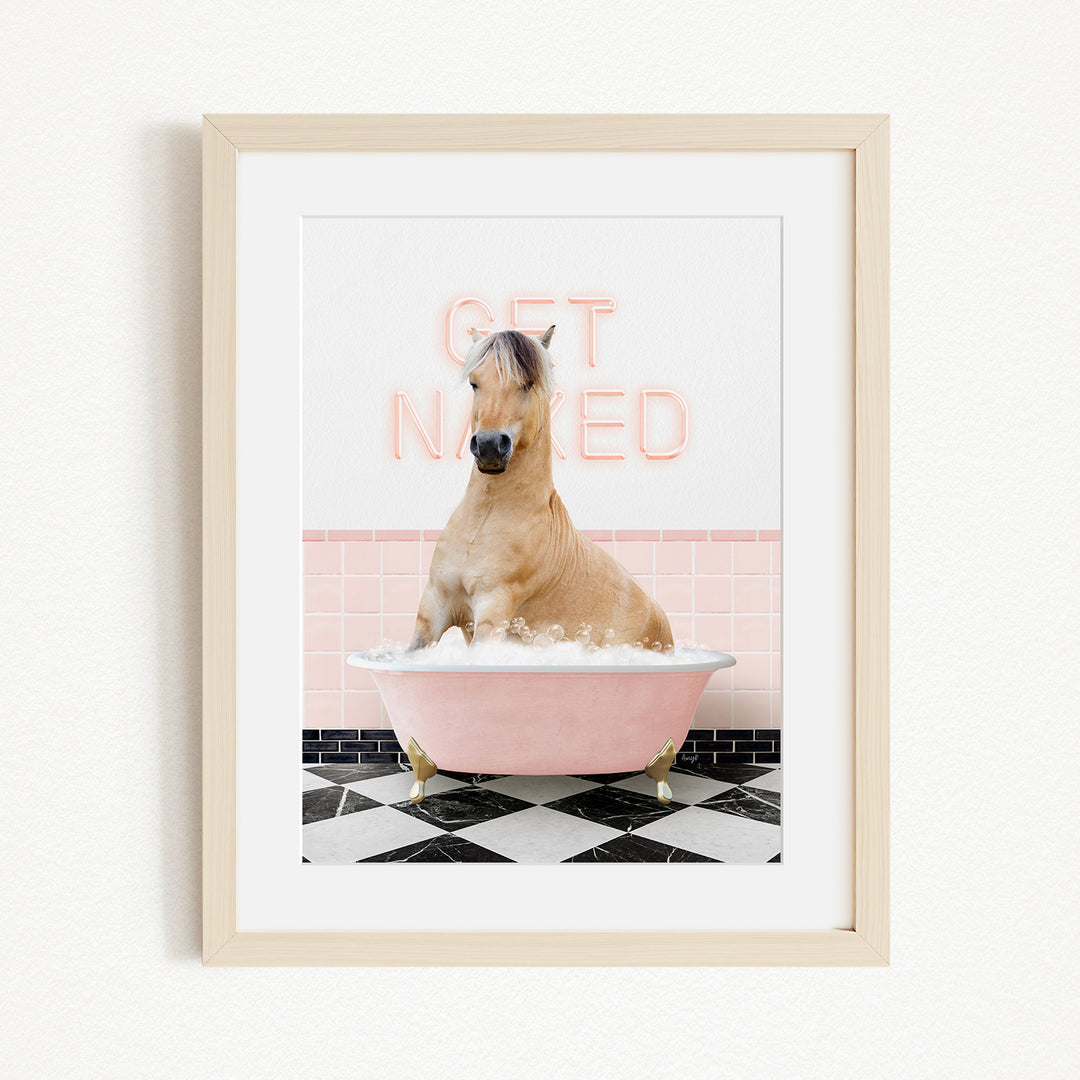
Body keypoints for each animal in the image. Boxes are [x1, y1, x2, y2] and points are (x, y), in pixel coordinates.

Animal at [408, 326, 673, 652]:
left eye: (527, 383)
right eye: (474, 383)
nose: (489, 446)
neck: (483, 520)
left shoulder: (493, 610)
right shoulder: (434, 605)